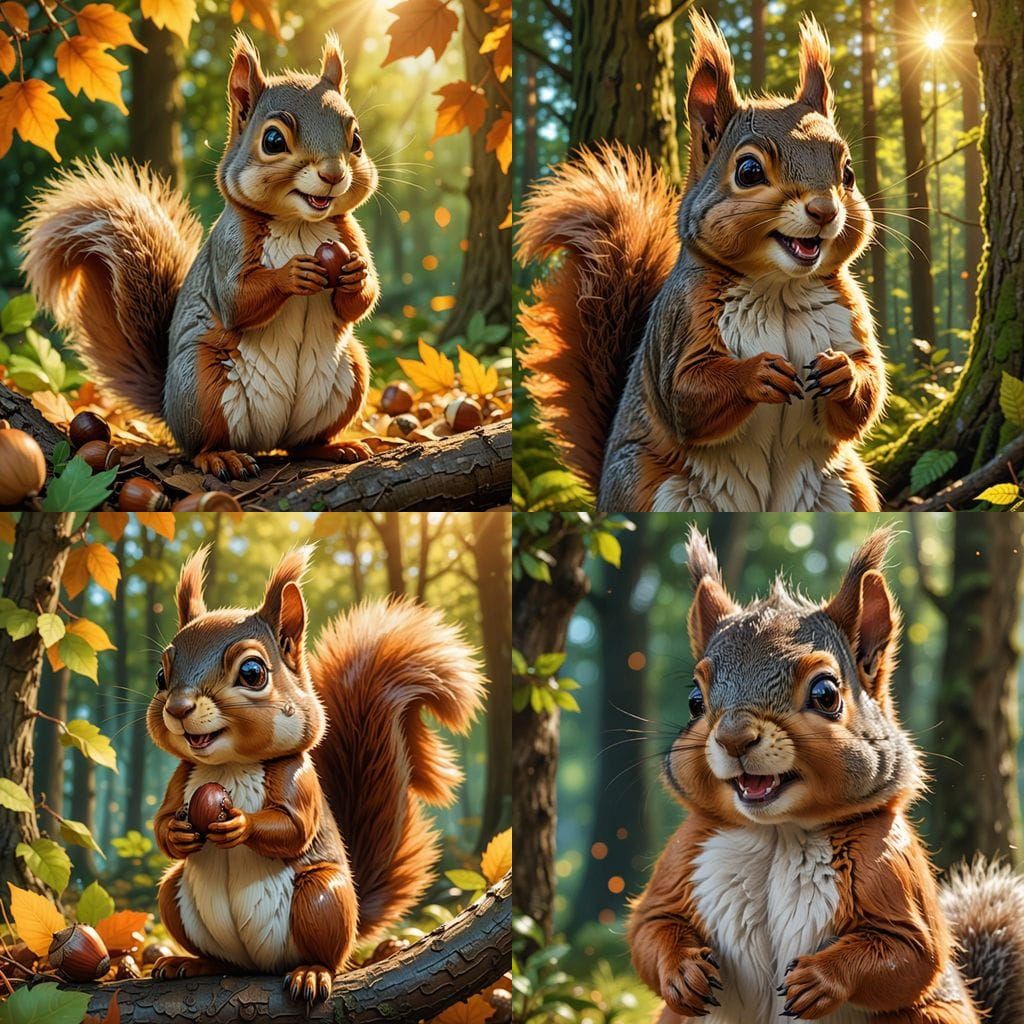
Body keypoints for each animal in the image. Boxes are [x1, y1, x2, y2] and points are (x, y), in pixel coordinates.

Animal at [20, 32, 379, 481]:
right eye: (273, 141)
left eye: (356, 140)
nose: (333, 175)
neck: (301, 225)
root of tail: (267, 440)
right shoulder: (228, 248)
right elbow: (237, 301)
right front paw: (292, 274)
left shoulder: (351, 235)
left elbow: (361, 301)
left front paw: (356, 275)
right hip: (202, 384)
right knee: (199, 445)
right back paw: (220, 457)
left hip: (351, 371)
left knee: (301, 443)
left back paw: (334, 446)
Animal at [145, 546, 484, 1002]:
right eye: (161, 676)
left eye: (252, 673)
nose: (178, 708)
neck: (229, 764)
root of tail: (257, 966)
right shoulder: (182, 776)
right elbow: (162, 820)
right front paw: (178, 832)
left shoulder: (296, 776)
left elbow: (293, 826)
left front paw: (238, 822)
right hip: (174, 894)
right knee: (219, 955)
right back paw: (193, 963)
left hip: (323, 898)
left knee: (329, 956)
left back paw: (311, 972)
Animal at [516, 14, 886, 513]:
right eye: (748, 171)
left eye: (847, 173)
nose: (825, 211)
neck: (780, 286)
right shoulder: (681, 320)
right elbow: (684, 396)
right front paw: (756, 374)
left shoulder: (851, 313)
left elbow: (869, 391)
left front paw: (844, 372)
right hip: (648, 485)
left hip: (848, 487)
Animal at [628, 526, 1024, 1024]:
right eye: (694, 701)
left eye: (826, 694)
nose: (734, 738)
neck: (777, 833)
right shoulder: (682, 855)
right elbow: (649, 928)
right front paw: (683, 971)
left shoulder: (892, 867)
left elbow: (909, 952)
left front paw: (819, 979)